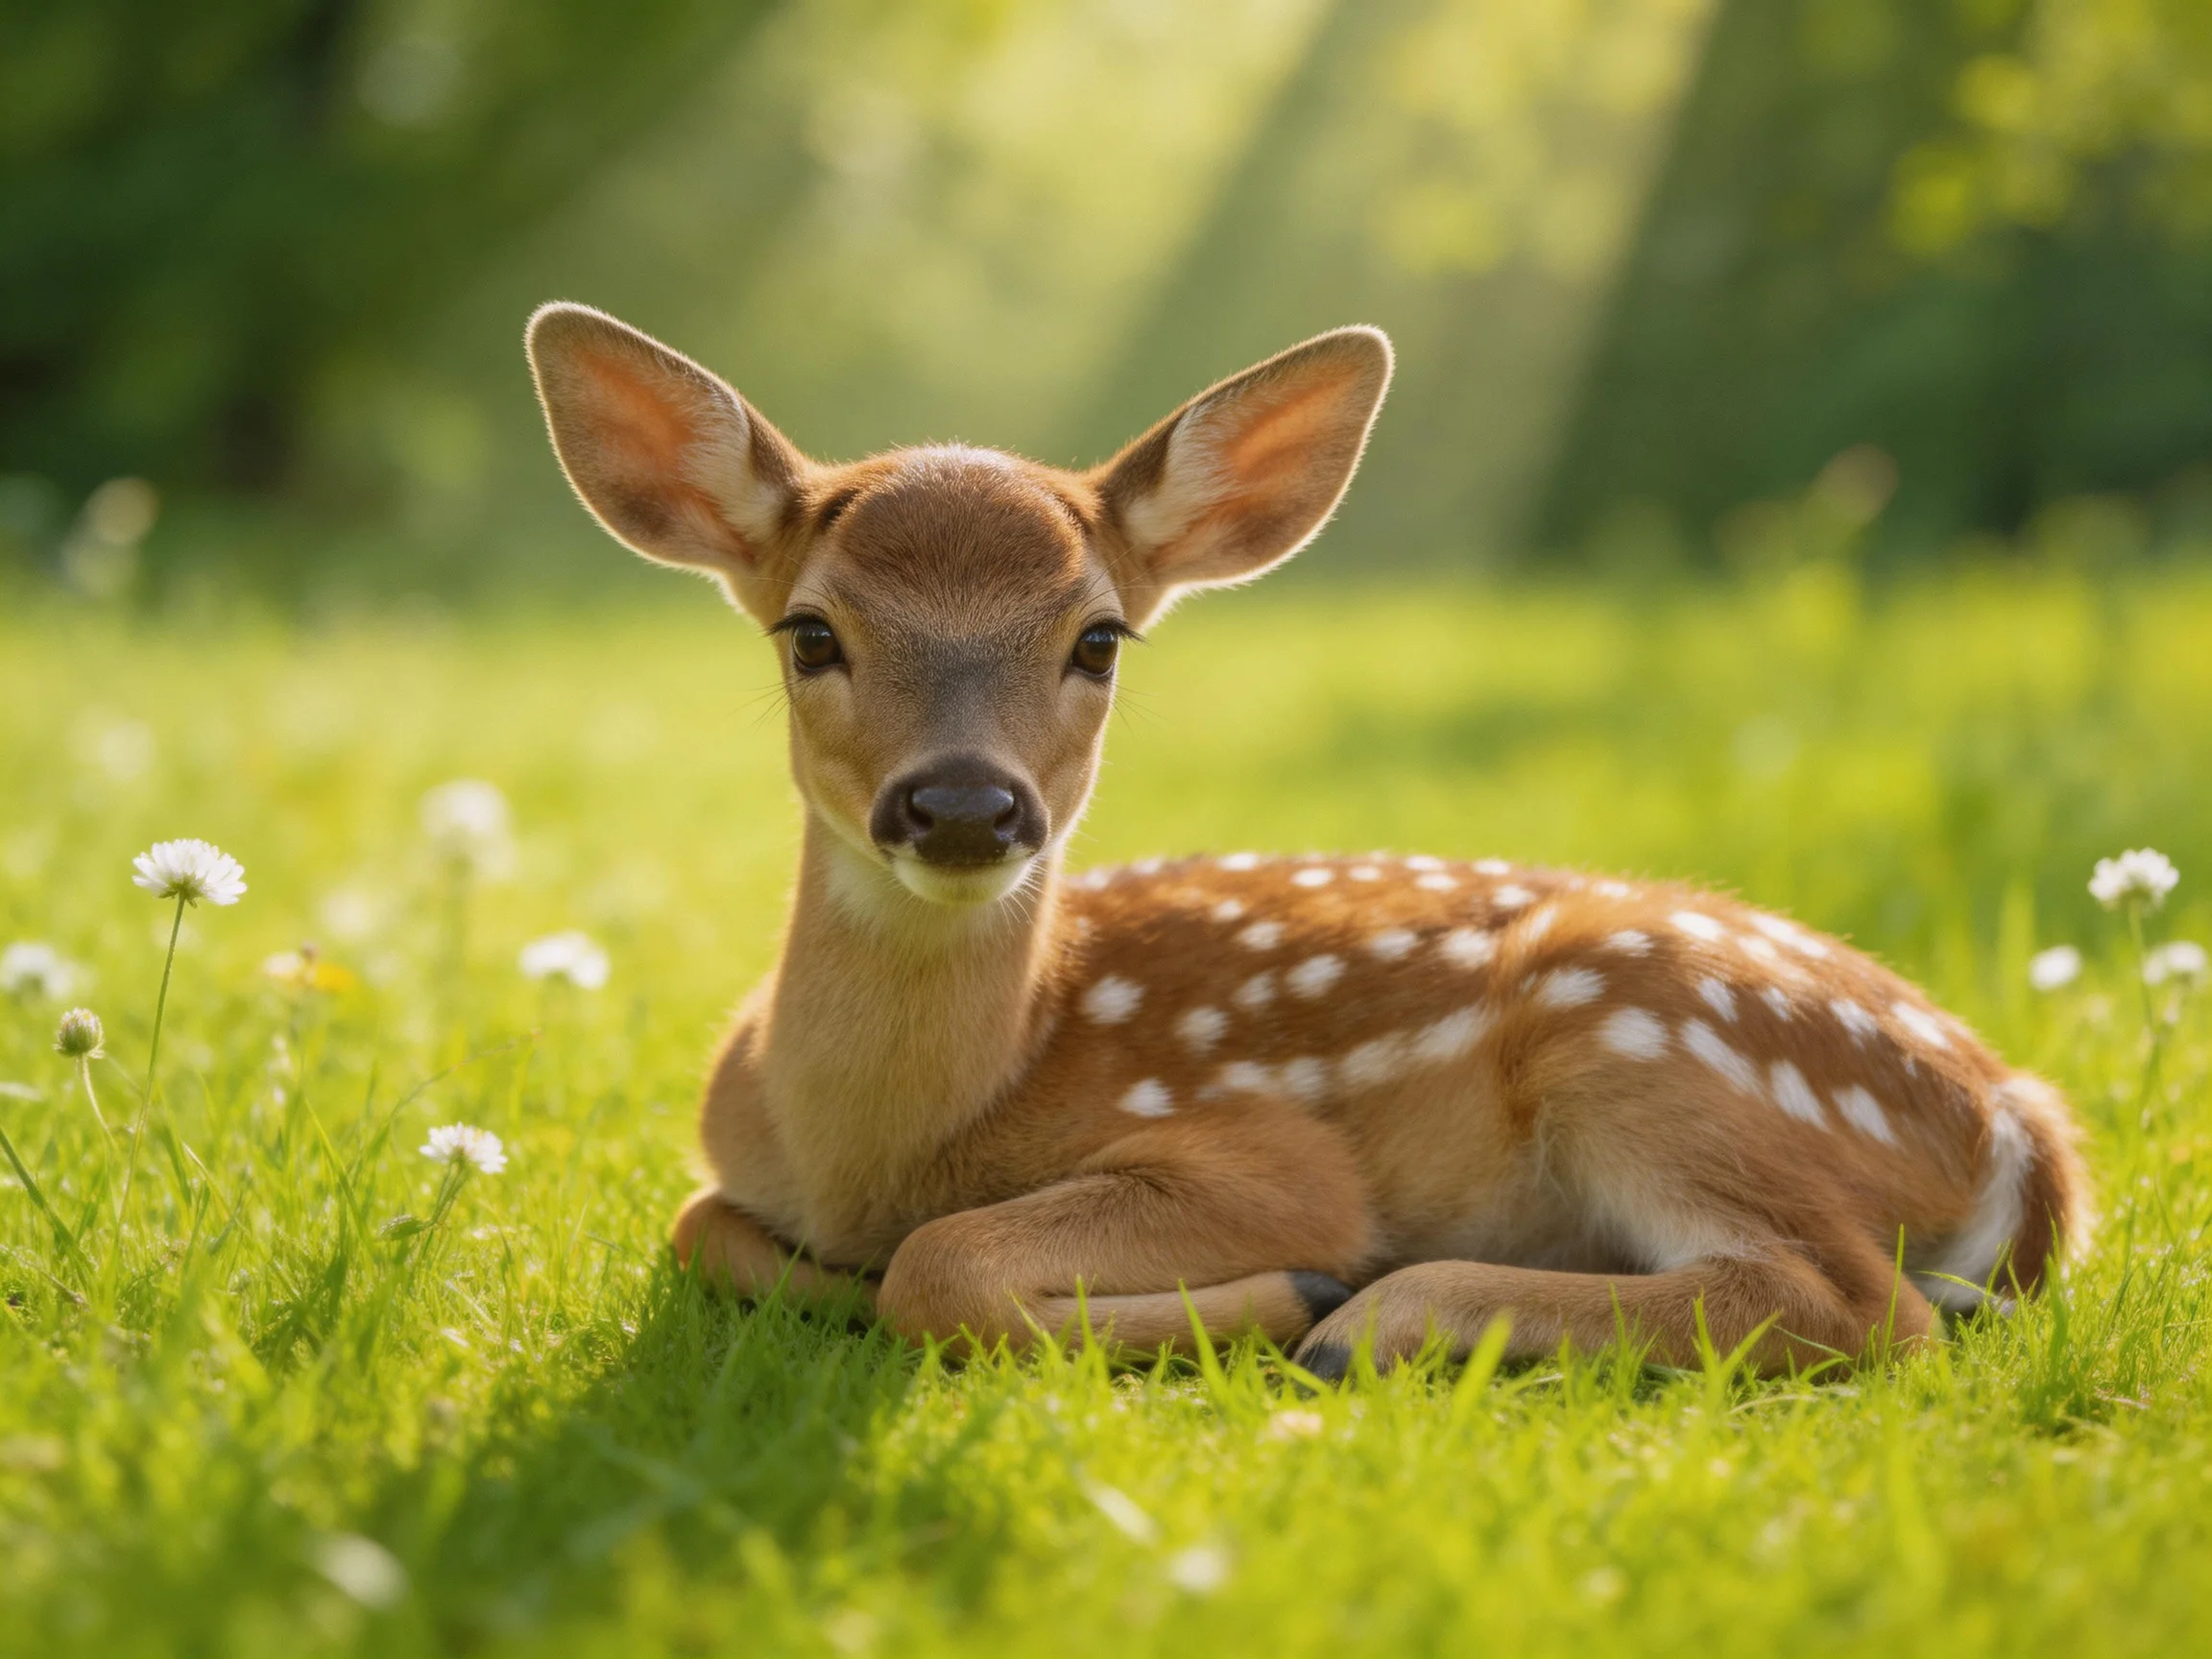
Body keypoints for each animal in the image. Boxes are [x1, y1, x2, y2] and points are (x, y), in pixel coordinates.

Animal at [525, 302, 2088, 1381]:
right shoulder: (727, 1161)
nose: (963, 804)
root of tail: (2024, 1124)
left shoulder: (1262, 1153)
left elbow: (939, 1266)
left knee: (1852, 1305)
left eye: (1099, 637)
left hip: (1640, 1034)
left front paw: (1297, 1292)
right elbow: (702, 1226)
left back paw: (1378, 1316)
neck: (886, 1143)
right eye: (810, 632)